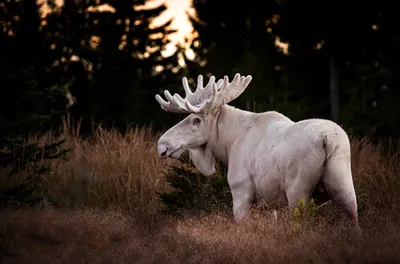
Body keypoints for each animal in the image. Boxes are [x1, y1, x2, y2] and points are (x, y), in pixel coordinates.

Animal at [155, 73, 360, 232]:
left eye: (196, 120)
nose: (162, 145)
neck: (228, 143)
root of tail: (327, 139)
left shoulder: (241, 191)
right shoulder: (269, 203)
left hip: (298, 190)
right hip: (343, 183)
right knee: (354, 216)